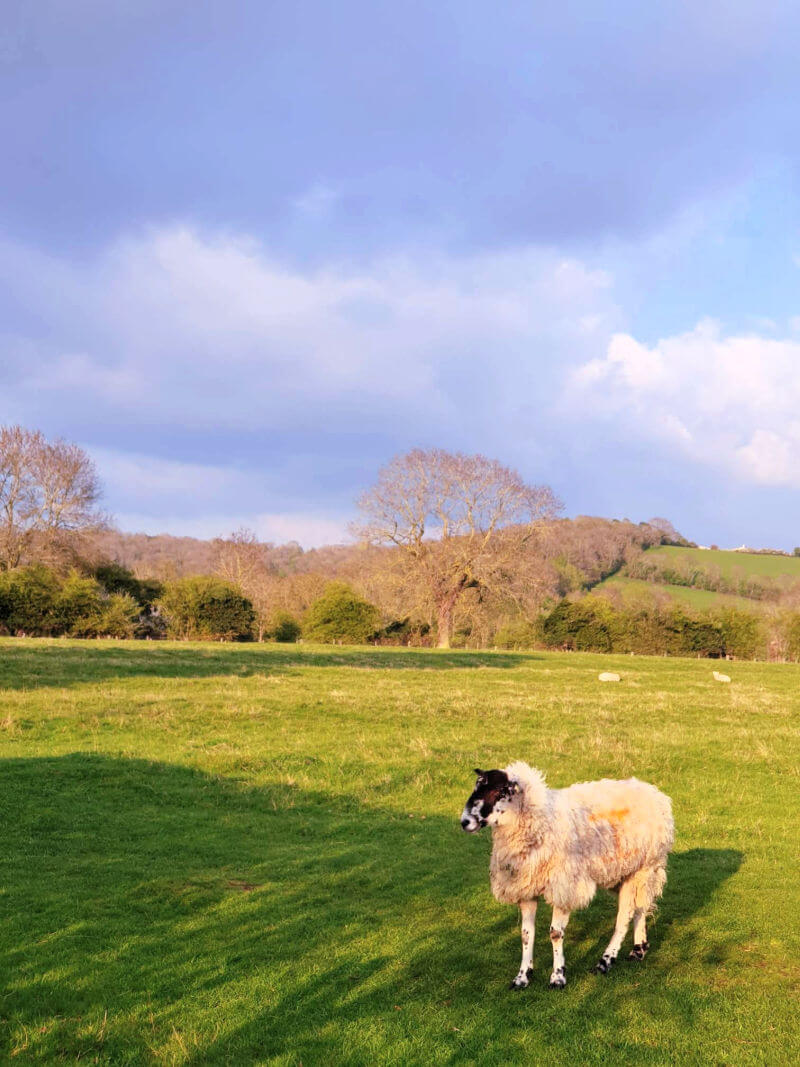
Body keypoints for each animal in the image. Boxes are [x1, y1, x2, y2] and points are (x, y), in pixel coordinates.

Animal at [462, 763, 678, 985]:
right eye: (476, 787)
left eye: (499, 791)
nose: (465, 821)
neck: (540, 819)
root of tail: (653, 792)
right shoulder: (526, 888)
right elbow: (526, 934)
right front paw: (522, 977)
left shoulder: (564, 886)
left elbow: (556, 933)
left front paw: (558, 976)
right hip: (628, 873)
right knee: (640, 907)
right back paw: (639, 949)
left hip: (644, 867)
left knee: (625, 915)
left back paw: (606, 960)